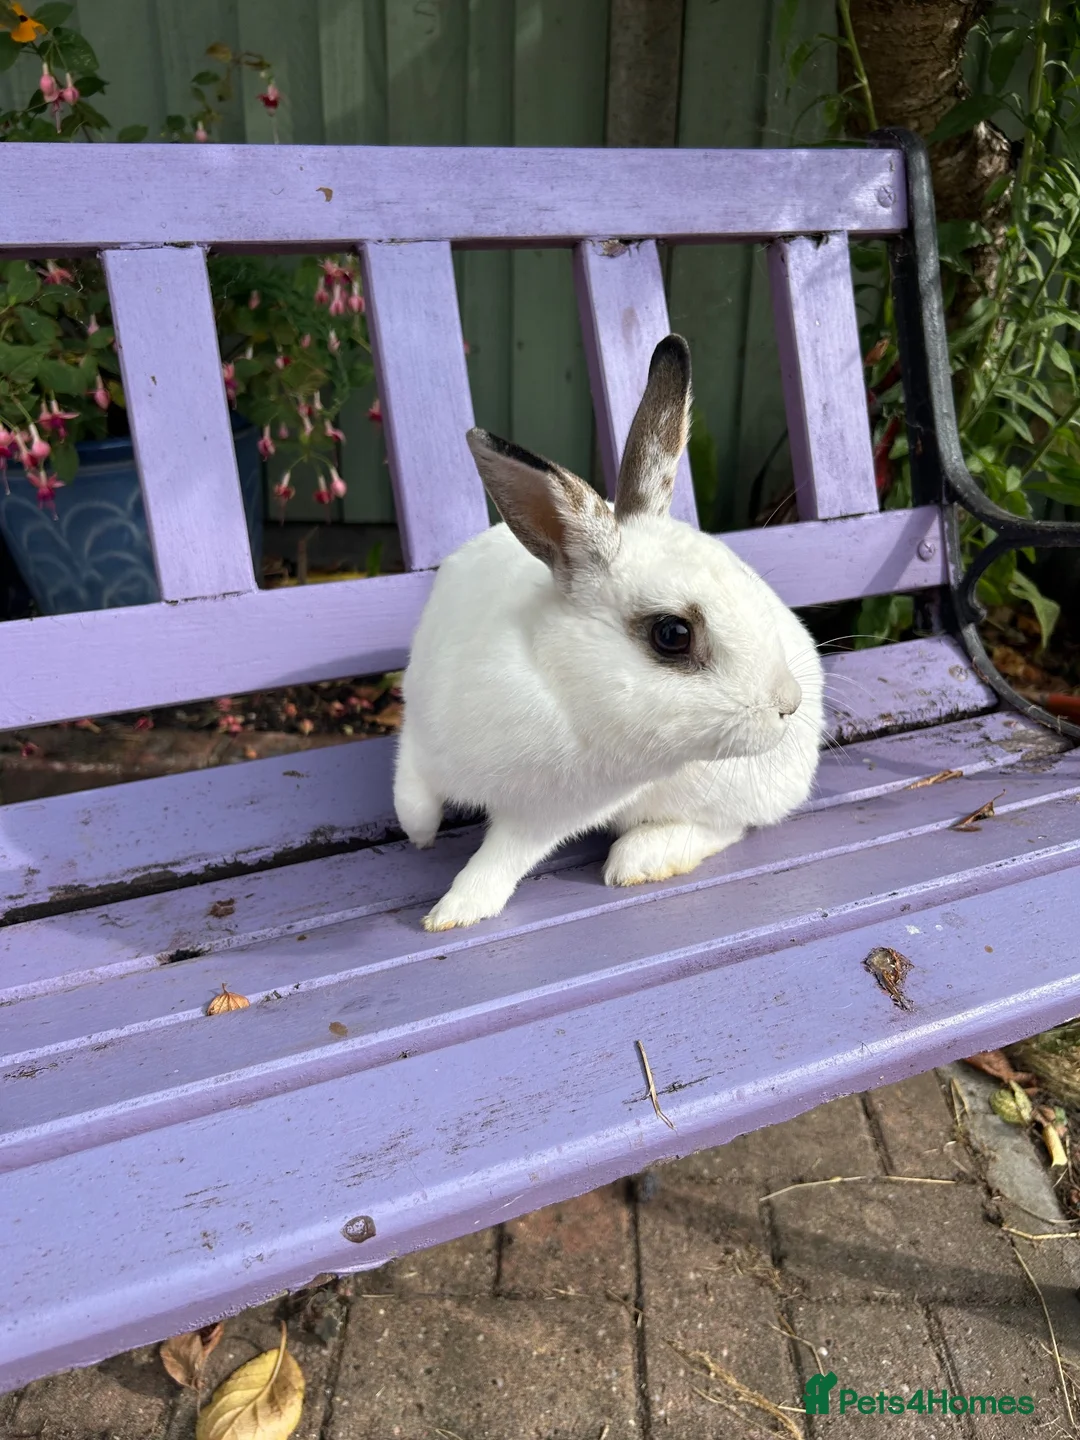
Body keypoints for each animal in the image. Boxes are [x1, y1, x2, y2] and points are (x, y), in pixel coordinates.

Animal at [394, 333, 825, 932]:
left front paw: (452, 913)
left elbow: (500, 860)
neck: (549, 678)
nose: (787, 704)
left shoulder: (547, 814)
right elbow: (410, 790)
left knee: (727, 827)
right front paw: (419, 836)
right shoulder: (418, 729)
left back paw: (638, 860)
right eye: (673, 634)